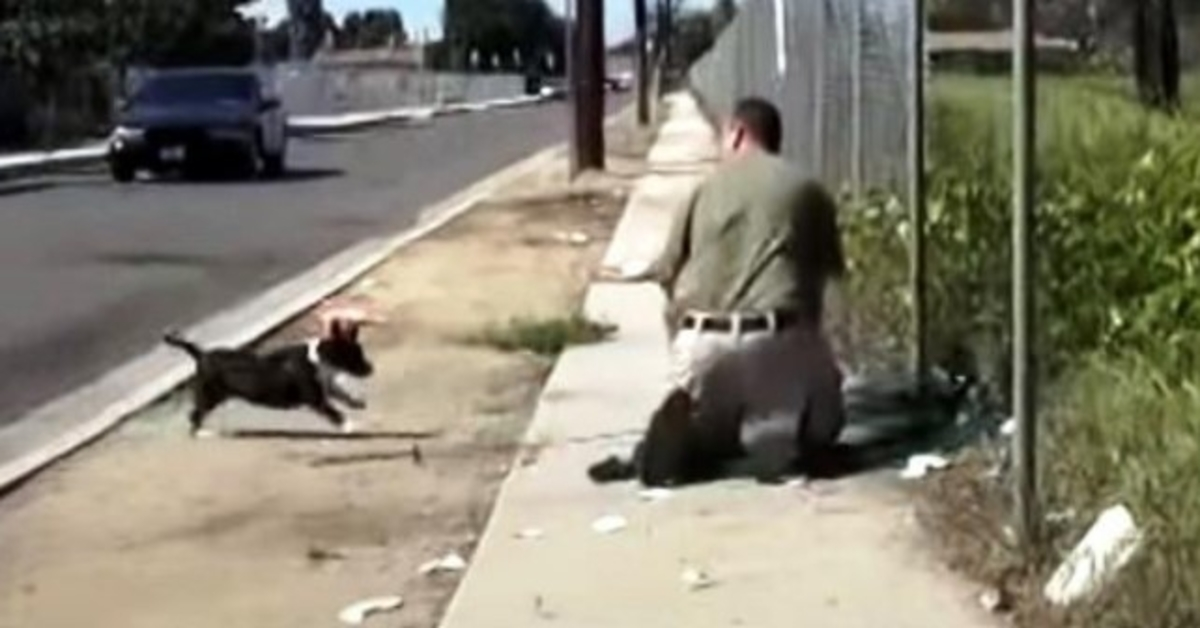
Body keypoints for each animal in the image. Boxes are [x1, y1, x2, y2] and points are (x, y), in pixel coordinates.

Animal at [162, 319, 372, 437]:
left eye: (361, 353)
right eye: (354, 356)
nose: (371, 370)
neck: (319, 360)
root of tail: (201, 354)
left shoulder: (326, 387)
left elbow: (342, 394)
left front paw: (357, 403)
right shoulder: (315, 399)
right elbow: (334, 412)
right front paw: (351, 426)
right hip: (210, 396)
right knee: (195, 414)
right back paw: (202, 433)